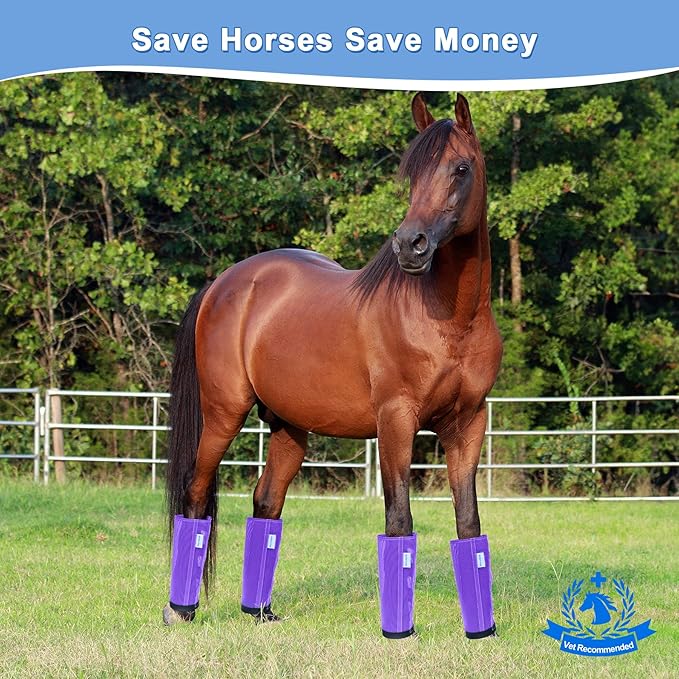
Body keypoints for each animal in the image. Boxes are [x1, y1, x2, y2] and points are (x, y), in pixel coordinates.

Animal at [163, 93, 503, 638]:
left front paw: (481, 632)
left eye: (460, 168)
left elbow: (469, 526)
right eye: (412, 173)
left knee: (266, 503)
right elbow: (399, 521)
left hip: (288, 427)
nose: (410, 245)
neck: (451, 319)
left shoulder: (468, 423)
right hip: (223, 413)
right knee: (195, 496)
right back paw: (181, 609)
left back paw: (260, 613)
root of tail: (223, 284)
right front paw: (398, 634)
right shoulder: (396, 421)